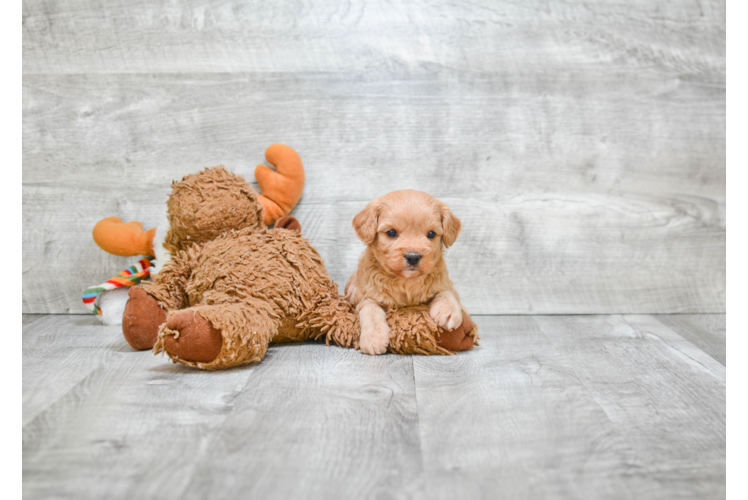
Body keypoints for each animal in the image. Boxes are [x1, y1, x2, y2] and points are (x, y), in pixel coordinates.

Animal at [344, 188, 462, 356]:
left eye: (431, 234)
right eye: (391, 232)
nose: (413, 257)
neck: (406, 281)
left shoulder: (446, 283)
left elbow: (446, 292)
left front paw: (449, 311)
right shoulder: (364, 295)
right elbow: (370, 310)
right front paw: (373, 338)